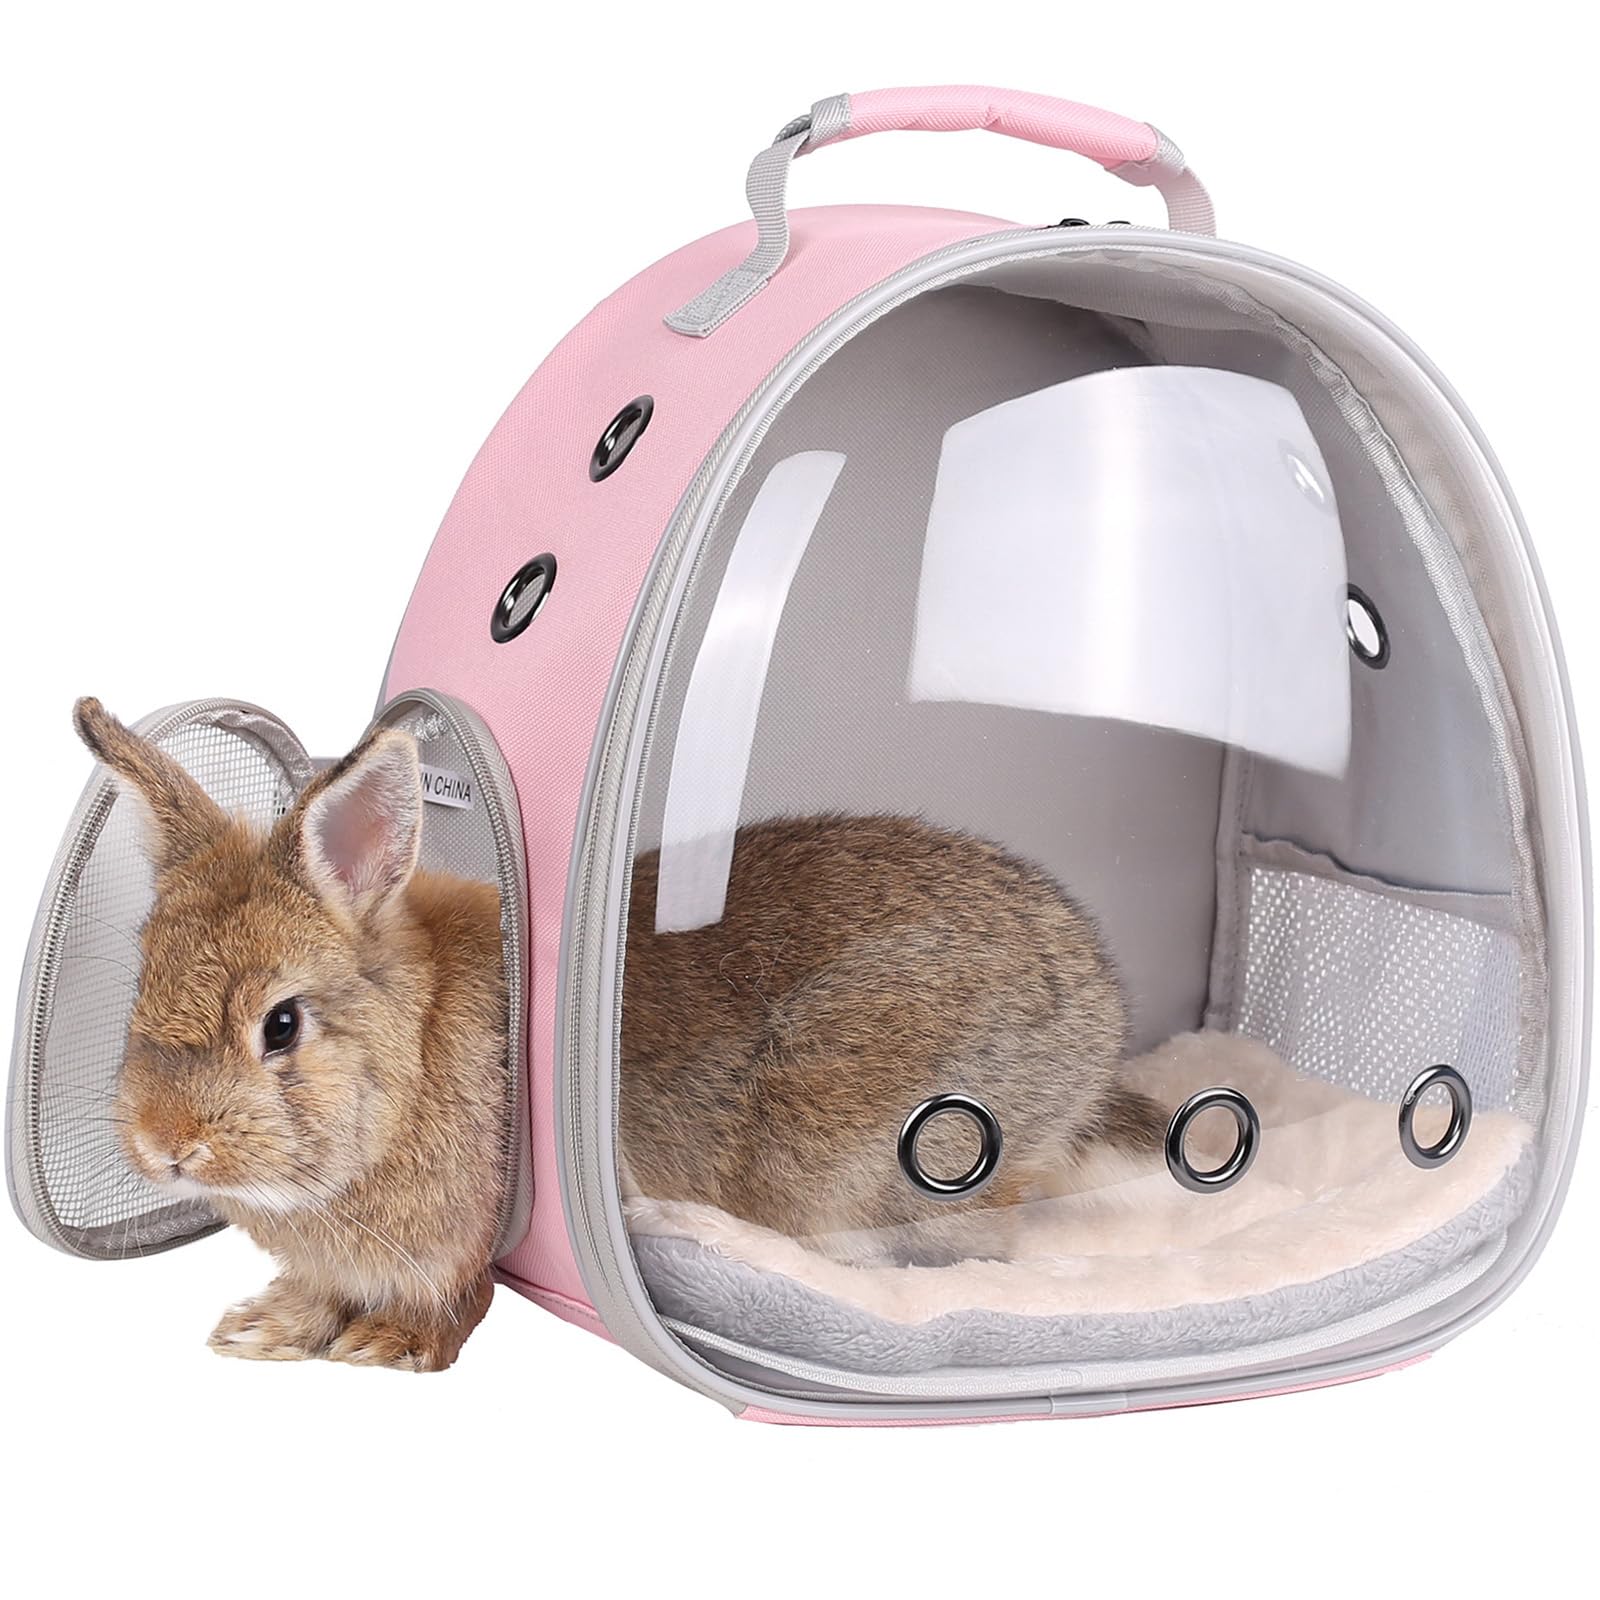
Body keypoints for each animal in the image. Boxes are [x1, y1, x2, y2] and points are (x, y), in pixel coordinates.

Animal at [74, 699, 508, 1372]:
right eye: (142, 988)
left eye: (282, 1025)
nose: (165, 1143)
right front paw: (262, 1331)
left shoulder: (463, 1241)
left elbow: (457, 1293)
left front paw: (387, 1344)